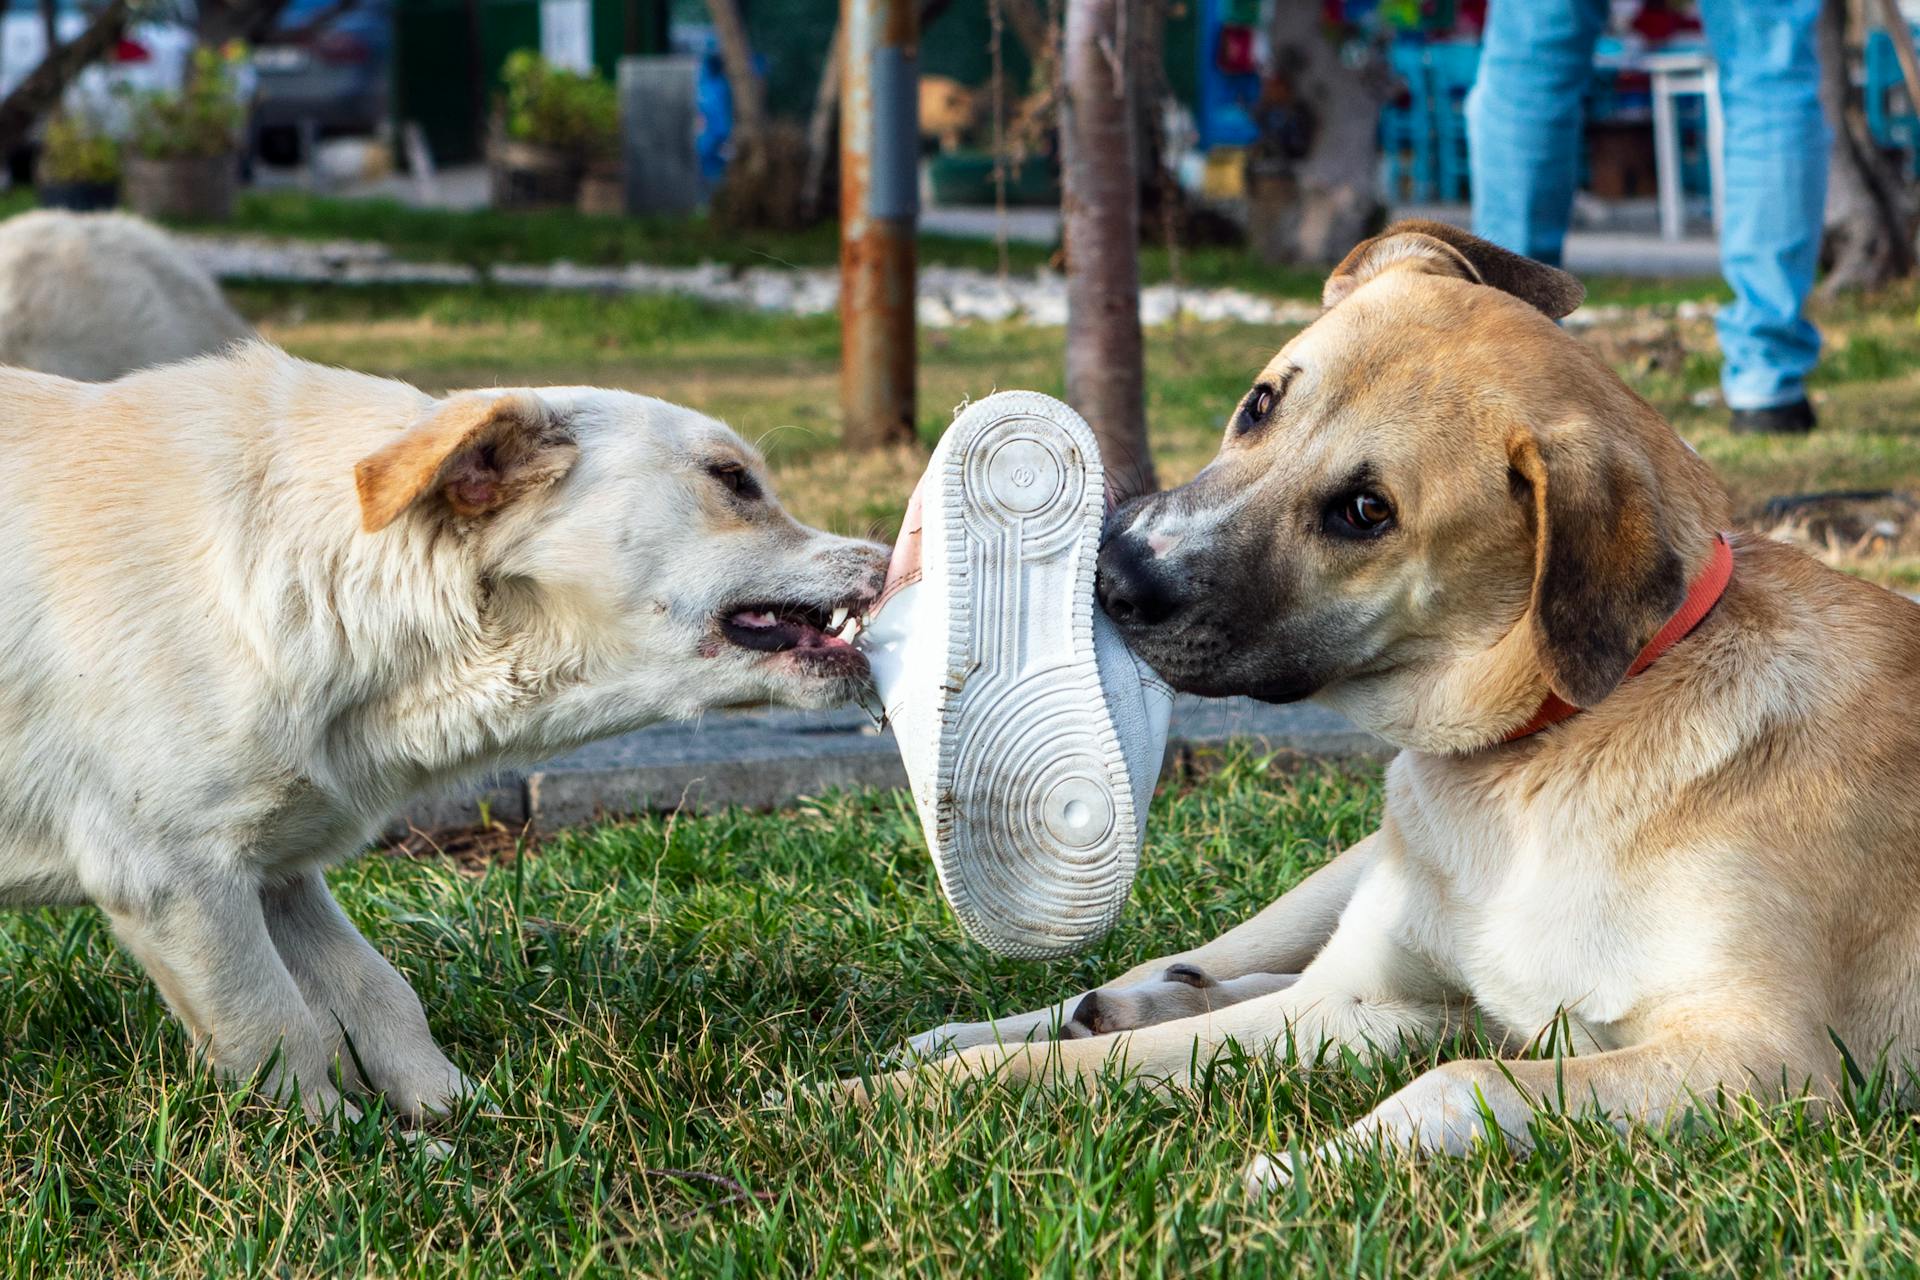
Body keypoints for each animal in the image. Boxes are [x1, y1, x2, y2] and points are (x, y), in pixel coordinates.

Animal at [0, 345, 883, 1113]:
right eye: (733, 480)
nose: (886, 558)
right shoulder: (171, 873)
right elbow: (273, 1025)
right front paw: (331, 1147)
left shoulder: (278, 873)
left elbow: (377, 994)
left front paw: (454, 1117)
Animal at [864, 220, 1920, 1189]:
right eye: (1259, 405)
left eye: (1365, 512)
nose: (1112, 577)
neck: (1542, 759)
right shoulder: (1358, 1005)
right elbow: (1052, 1069)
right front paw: (877, 1095)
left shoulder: (1770, 1059)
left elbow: (1463, 1080)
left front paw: (1285, 1172)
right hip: (1339, 881)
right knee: (1168, 969)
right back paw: (1008, 1022)